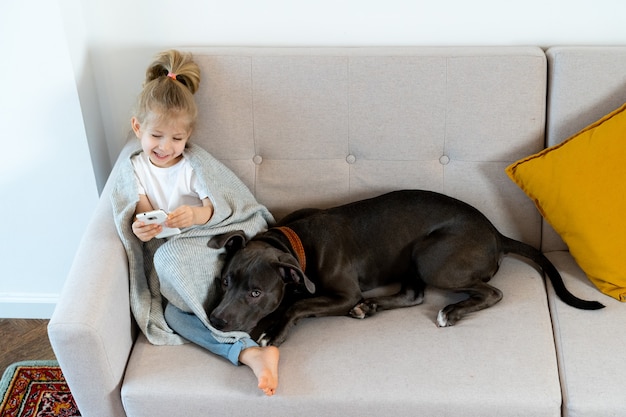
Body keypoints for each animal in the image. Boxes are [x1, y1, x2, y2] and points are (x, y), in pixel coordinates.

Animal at [207, 189, 604, 344]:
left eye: (255, 292)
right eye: (225, 282)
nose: (216, 320)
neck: (295, 241)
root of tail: (496, 232)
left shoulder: (343, 293)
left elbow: (299, 303)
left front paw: (274, 331)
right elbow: (295, 299)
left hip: (431, 257)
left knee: (491, 291)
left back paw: (450, 312)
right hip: (414, 261)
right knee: (413, 295)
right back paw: (371, 306)